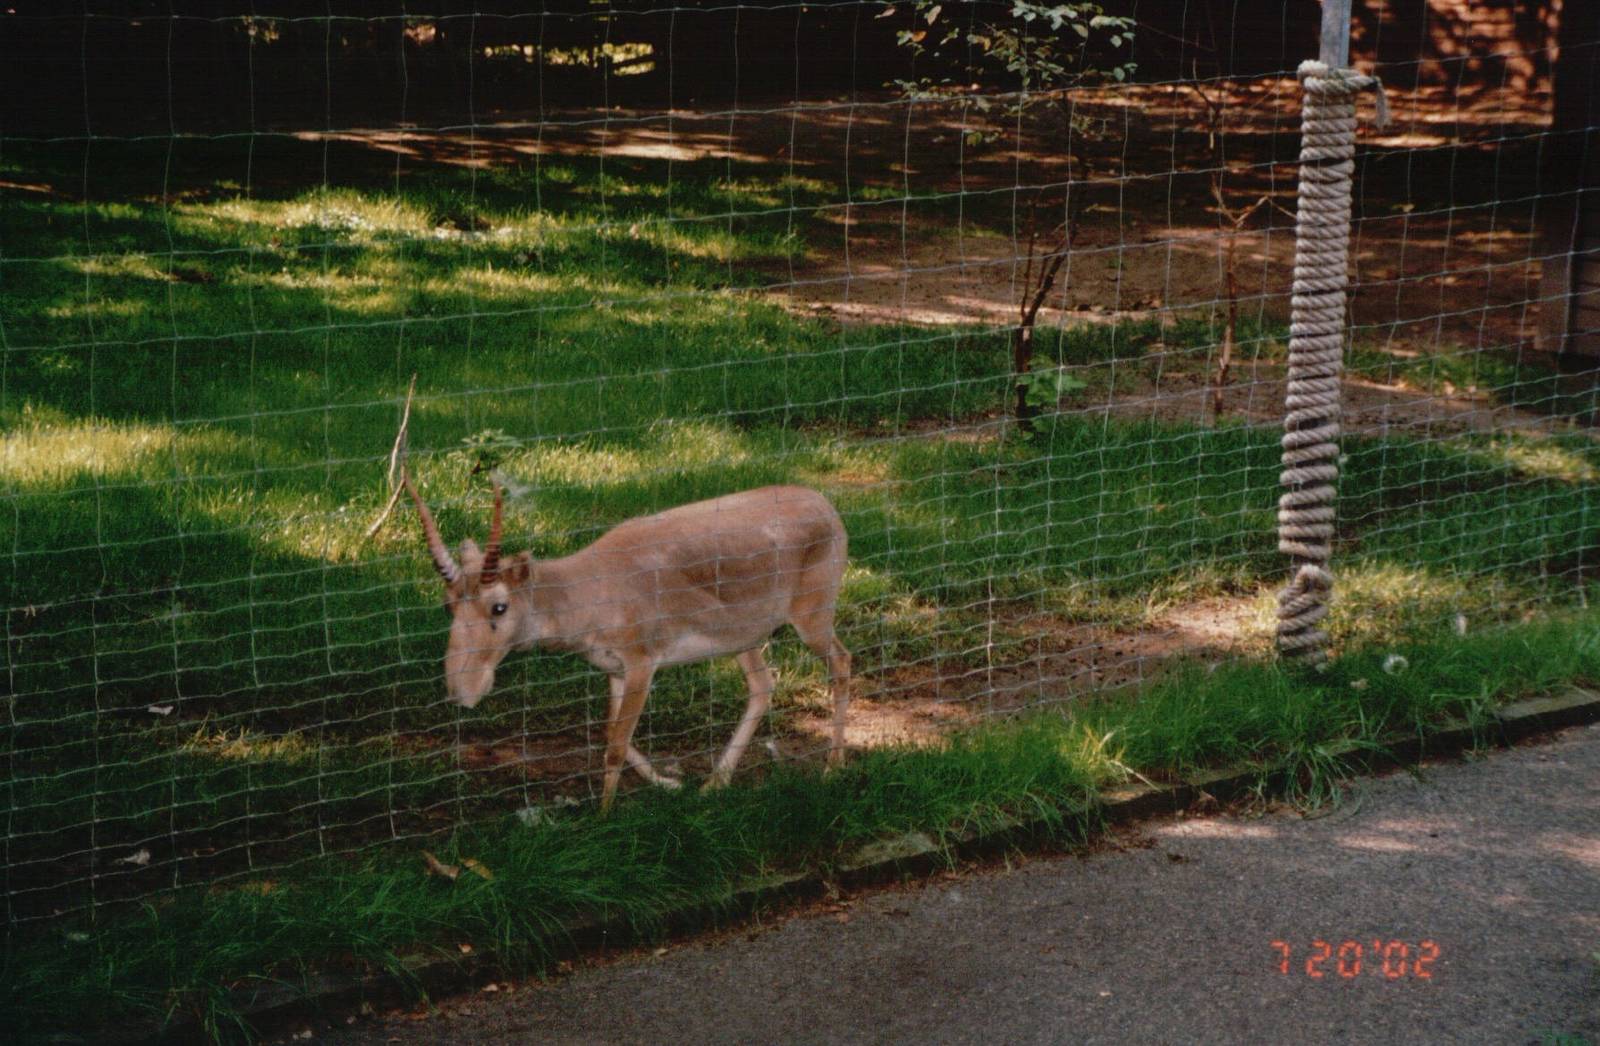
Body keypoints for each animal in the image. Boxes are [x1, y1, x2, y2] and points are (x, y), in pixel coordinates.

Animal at [403, 473, 852, 809]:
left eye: (498, 606)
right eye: (447, 604)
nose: (462, 690)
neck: (591, 589)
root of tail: (826, 506)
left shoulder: (641, 665)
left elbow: (617, 744)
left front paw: (605, 816)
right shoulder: (613, 669)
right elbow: (609, 733)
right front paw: (669, 783)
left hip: (812, 619)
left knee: (842, 662)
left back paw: (832, 770)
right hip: (743, 638)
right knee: (762, 686)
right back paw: (714, 784)